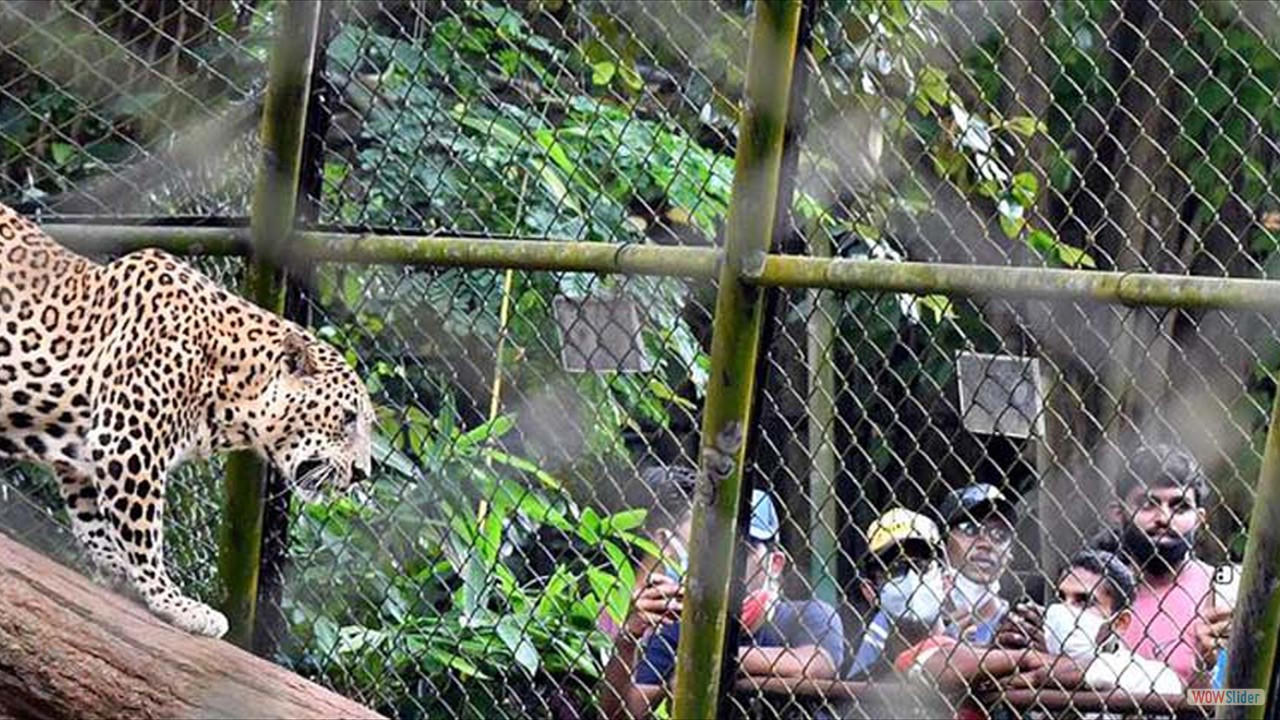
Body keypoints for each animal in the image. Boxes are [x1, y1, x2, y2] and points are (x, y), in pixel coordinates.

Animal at [0, 199, 373, 632]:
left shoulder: (86, 449)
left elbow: (92, 516)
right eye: (348, 417)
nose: (363, 473)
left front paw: (115, 570)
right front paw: (176, 603)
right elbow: (143, 534)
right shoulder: (128, 444)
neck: (233, 395)